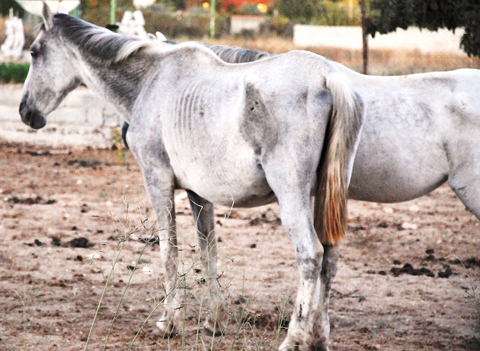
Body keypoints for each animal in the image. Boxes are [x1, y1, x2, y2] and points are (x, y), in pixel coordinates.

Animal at [17, 4, 364, 350]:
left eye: (34, 52)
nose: (25, 111)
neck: (151, 82)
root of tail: (328, 77)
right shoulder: (200, 194)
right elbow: (208, 252)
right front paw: (215, 321)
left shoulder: (157, 181)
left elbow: (168, 251)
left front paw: (169, 322)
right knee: (329, 258)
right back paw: (318, 337)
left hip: (292, 195)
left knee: (311, 255)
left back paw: (294, 338)